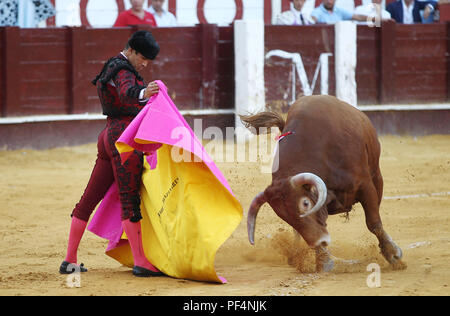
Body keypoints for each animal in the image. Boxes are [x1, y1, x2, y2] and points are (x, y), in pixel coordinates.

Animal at [243, 95, 404, 272]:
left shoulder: (365, 185)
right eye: (283, 216)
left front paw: (392, 254)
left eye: (305, 203)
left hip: (377, 175)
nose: (320, 241)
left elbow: (373, 222)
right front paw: (323, 260)